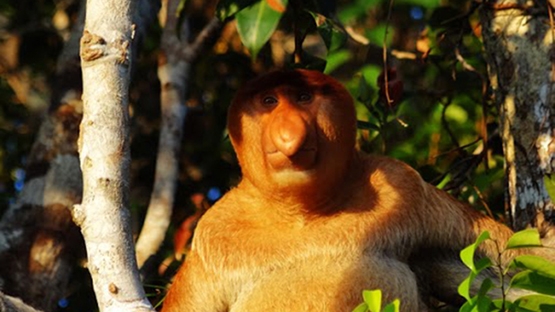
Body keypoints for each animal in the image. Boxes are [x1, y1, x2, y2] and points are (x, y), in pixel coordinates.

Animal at [163, 69, 552, 310]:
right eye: (269, 102)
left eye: (303, 97)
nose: (289, 134)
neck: (302, 213)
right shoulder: (212, 235)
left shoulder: (406, 186)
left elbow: (509, 267)